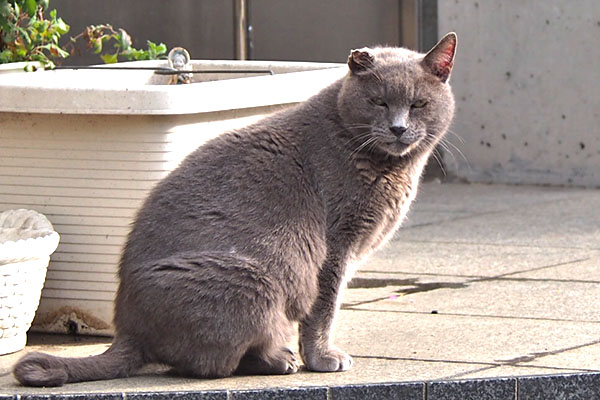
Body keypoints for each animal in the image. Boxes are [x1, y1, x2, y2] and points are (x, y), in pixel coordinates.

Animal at [12, 32, 454, 386]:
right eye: (379, 102)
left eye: (418, 104)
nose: (398, 128)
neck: (387, 166)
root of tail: (128, 331)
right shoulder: (334, 248)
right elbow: (324, 309)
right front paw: (324, 358)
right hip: (258, 278)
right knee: (210, 364)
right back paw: (280, 361)